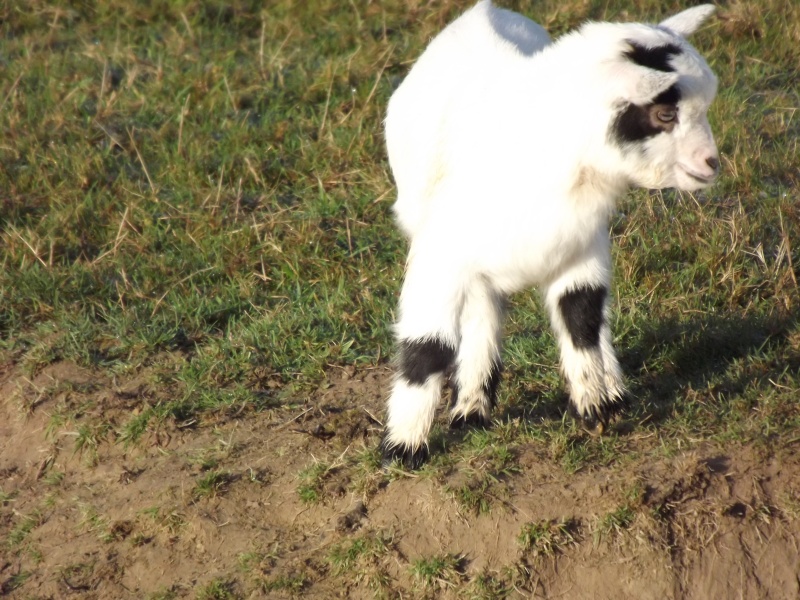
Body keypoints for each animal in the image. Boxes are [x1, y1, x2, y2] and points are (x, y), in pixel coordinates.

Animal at [380, 0, 720, 468]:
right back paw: (470, 409)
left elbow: (582, 316)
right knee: (481, 311)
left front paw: (596, 408)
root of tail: (482, 10)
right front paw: (403, 449)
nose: (712, 163)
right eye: (665, 113)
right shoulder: (441, 254)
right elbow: (427, 346)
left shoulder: (581, 247)